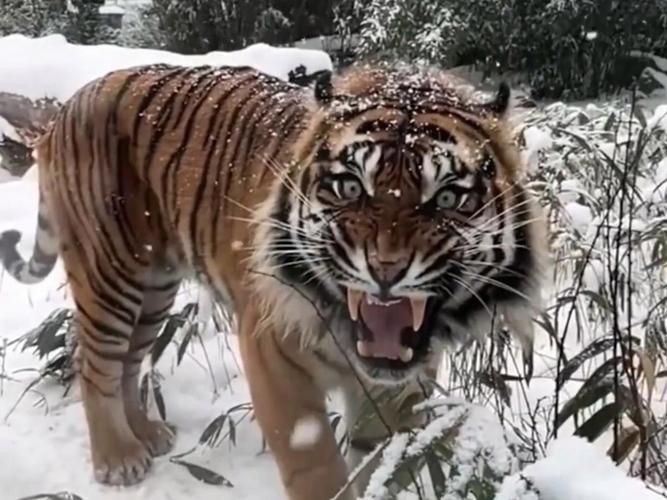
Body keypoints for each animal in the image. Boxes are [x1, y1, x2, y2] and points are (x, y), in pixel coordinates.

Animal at [0, 63, 548, 500]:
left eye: (449, 198)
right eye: (350, 187)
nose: (386, 269)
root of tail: (71, 101)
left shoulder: (402, 387)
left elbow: (384, 460)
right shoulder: (272, 352)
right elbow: (315, 463)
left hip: (155, 286)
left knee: (130, 361)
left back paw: (147, 434)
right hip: (111, 269)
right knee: (93, 361)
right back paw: (118, 458)